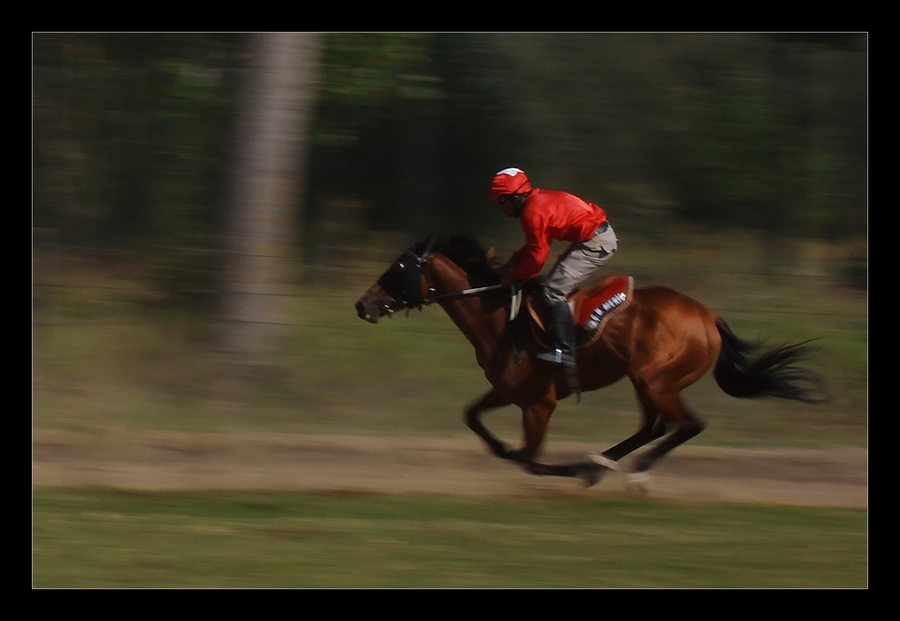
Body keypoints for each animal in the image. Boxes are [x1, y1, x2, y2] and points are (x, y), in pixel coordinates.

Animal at [356, 232, 820, 484]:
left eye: (398, 268)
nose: (363, 305)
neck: (499, 318)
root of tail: (709, 317)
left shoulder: (539, 404)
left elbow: (530, 461)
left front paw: (570, 469)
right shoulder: (508, 392)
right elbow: (473, 417)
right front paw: (506, 449)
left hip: (657, 379)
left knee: (687, 424)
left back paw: (628, 469)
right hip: (645, 380)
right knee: (654, 425)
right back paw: (603, 462)